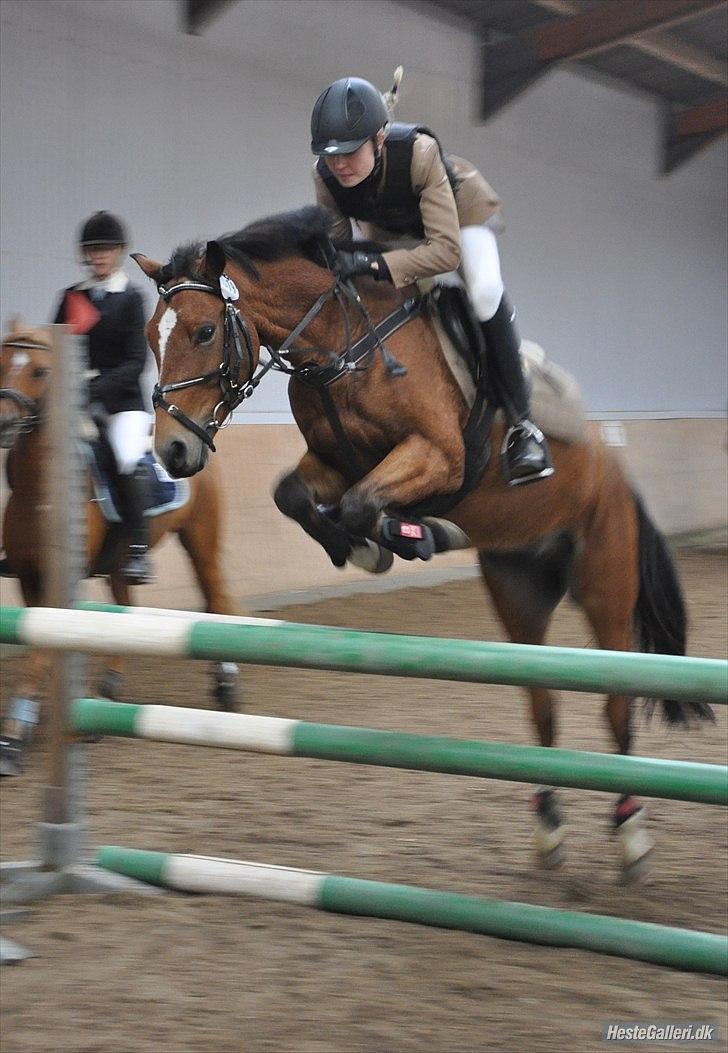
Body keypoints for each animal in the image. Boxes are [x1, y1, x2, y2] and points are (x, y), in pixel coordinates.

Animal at [0, 315, 242, 779]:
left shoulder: (59, 587)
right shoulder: (27, 577)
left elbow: (40, 654)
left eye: (39, 371)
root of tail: (197, 439)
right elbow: (41, 649)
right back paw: (108, 690)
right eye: (1, 362)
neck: (40, 489)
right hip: (118, 563)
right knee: (126, 607)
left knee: (216, 598)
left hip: (201, 540)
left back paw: (227, 685)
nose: (3, 422)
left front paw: (12, 738)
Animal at [133, 203, 716, 880]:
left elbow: (363, 503)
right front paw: (366, 545)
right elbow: (295, 496)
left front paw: (407, 535)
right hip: (517, 588)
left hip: (605, 585)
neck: (343, 345)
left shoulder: (436, 456)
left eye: (204, 332)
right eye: (150, 335)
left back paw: (630, 833)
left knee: (616, 703)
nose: (173, 451)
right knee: (542, 703)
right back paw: (548, 827)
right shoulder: (334, 462)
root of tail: (618, 475)